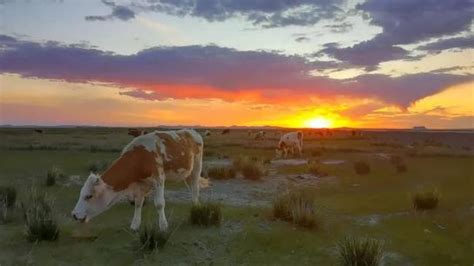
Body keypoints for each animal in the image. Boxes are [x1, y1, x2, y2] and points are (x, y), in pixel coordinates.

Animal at [71, 128, 207, 231]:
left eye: (88, 196)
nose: (74, 215)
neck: (139, 157)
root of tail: (191, 130)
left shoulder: (159, 179)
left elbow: (159, 204)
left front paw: (163, 225)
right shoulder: (140, 184)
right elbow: (138, 203)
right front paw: (135, 225)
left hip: (196, 168)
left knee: (195, 189)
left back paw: (196, 209)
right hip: (186, 174)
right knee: (192, 189)